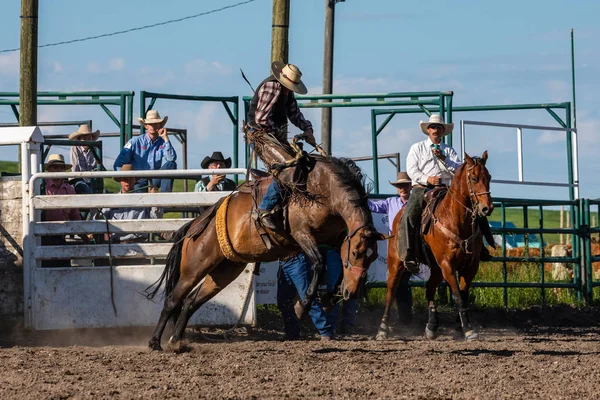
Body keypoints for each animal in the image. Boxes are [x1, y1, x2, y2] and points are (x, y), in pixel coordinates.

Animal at [146, 138, 390, 350]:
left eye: (372, 257)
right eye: (357, 252)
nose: (353, 292)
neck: (324, 190)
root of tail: (193, 227)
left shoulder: (335, 239)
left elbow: (337, 268)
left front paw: (330, 297)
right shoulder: (302, 234)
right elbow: (320, 264)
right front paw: (302, 306)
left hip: (224, 270)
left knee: (190, 302)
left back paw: (176, 341)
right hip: (195, 265)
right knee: (173, 300)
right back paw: (155, 342)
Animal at [378, 151, 494, 340]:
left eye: (489, 177)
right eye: (474, 178)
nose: (487, 208)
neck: (455, 219)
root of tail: (398, 217)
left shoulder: (471, 266)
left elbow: (464, 295)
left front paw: (461, 325)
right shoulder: (447, 265)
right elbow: (458, 296)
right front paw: (468, 329)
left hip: (436, 268)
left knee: (429, 288)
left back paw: (432, 325)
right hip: (396, 262)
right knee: (391, 291)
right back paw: (382, 329)